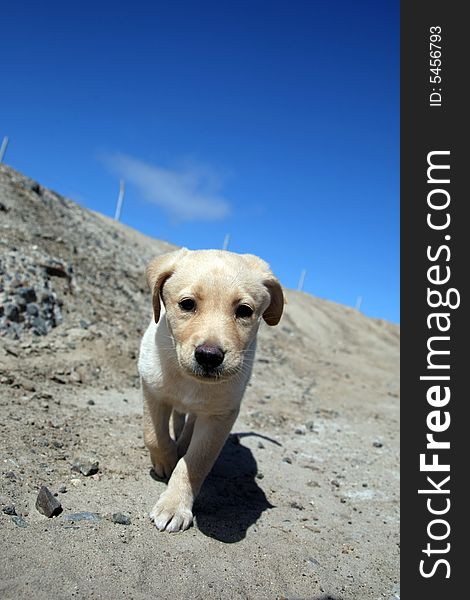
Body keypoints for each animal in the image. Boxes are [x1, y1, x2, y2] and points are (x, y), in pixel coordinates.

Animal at [136, 246, 282, 532]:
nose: (209, 356)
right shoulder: (152, 389)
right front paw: (164, 462)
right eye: (187, 304)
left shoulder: (220, 415)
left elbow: (195, 461)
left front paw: (174, 505)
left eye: (244, 311)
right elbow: (154, 436)